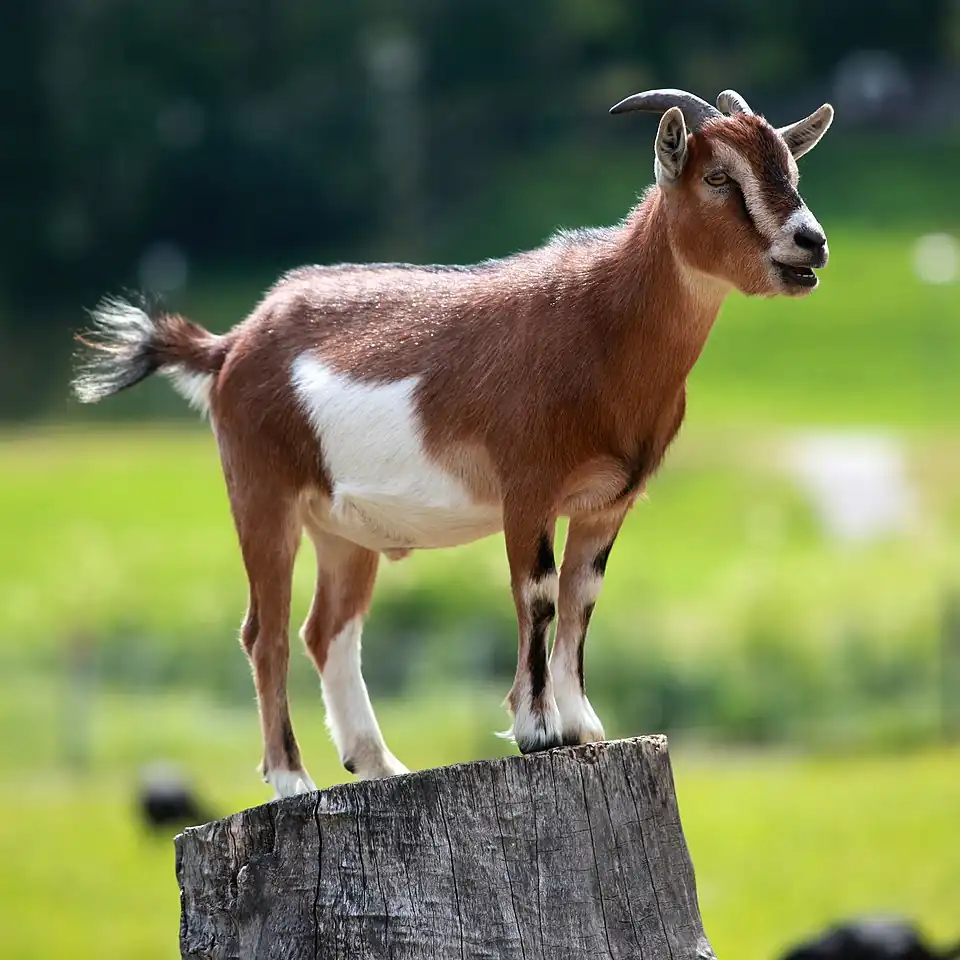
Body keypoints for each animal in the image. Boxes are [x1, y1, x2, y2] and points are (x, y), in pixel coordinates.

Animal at [72, 87, 834, 798]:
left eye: (791, 167)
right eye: (717, 176)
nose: (811, 242)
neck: (600, 325)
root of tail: (230, 345)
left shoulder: (608, 501)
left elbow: (583, 596)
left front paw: (583, 726)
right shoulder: (527, 487)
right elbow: (538, 593)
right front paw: (537, 731)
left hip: (340, 528)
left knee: (326, 629)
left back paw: (378, 763)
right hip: (262, 490)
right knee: (267, 632)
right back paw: (292, 780)